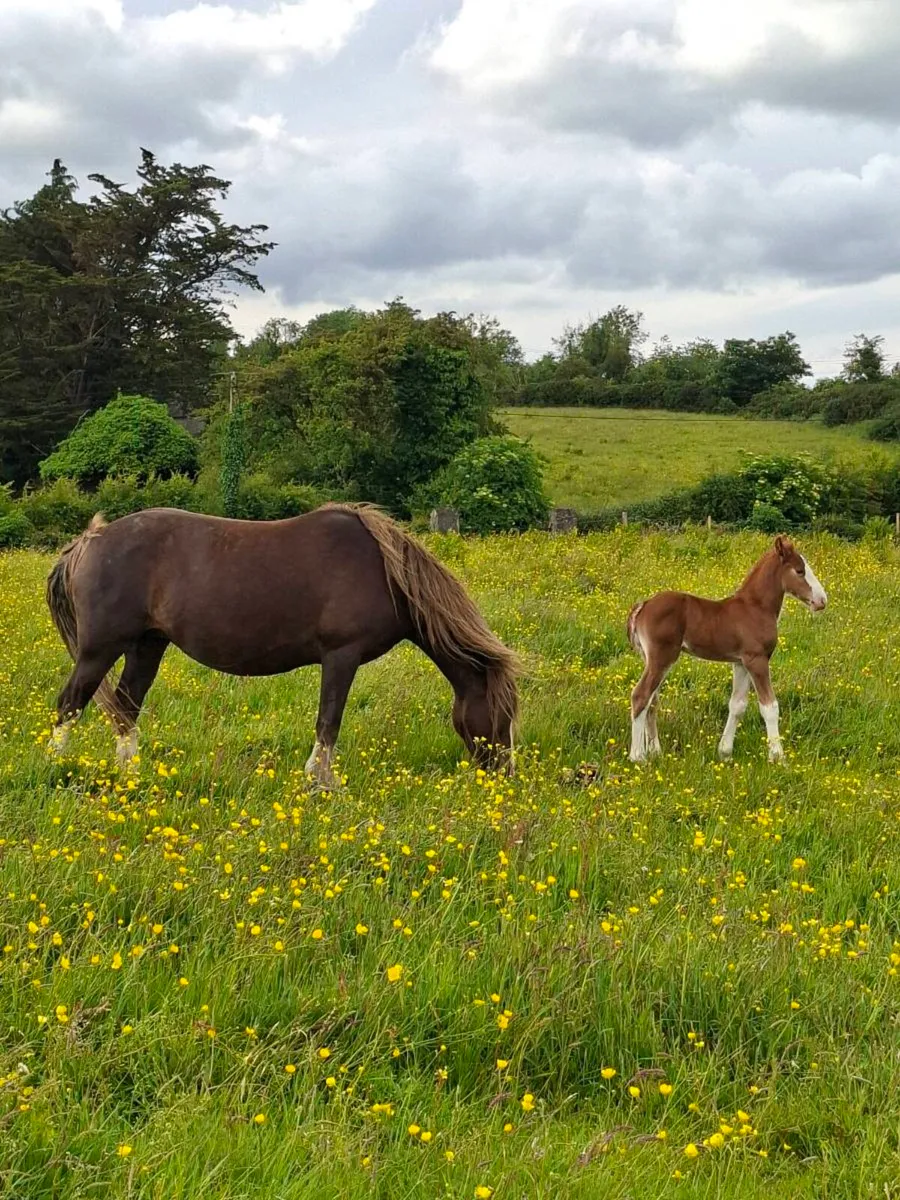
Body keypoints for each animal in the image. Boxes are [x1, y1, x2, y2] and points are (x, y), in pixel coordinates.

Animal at [45, 504, 520, 786]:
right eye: (503, 713)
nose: (504, 774)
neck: (385, 572)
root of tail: (86, 542)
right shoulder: (341, 656)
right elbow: (328, 722)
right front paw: (321, 782)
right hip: (100, 649)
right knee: (70, 704)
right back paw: (56, 765)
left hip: (147, 645)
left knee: (126, 708)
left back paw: (132, 776)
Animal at [626, 535, 827, 764]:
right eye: (800, 571)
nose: (822, 600)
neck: (755, 607)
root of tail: (643, 605)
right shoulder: (757, 659)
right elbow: (769, 707)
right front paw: (778, 758)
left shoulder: (740, 663)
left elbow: (737, 705)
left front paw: (725, 753)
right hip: (662, 657)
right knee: (641, 695)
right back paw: (638, 756)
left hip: (652, 660)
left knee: (652, 701)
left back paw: (655, 752)